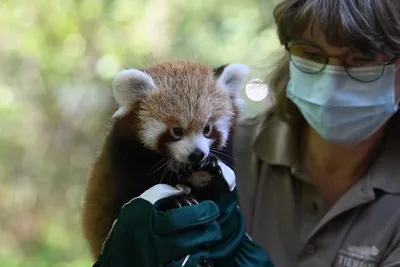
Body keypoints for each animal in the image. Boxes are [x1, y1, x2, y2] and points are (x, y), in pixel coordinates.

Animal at [81, 60, 248, 260]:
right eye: (176, 131)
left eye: (207, 129)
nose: (197, 154)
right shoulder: (124, 152)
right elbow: (137, 187)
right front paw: (176, 200)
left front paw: (205, 174)